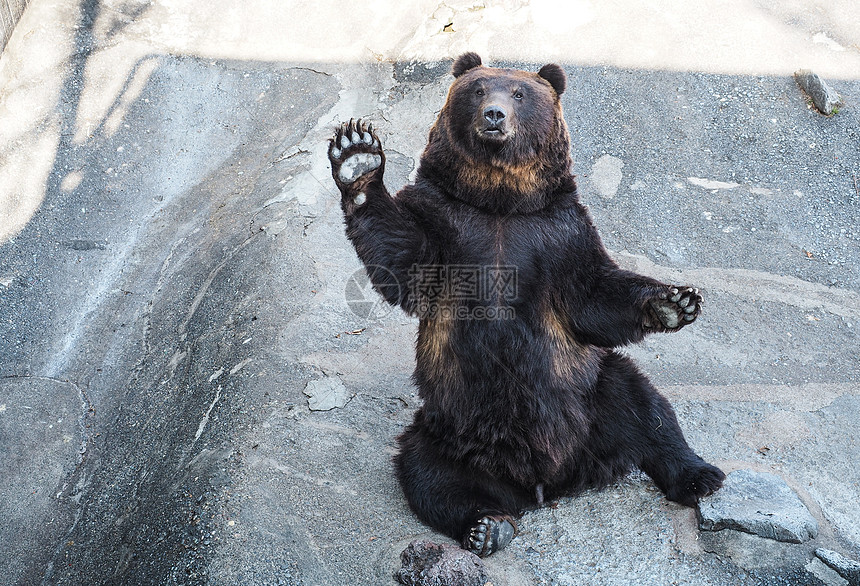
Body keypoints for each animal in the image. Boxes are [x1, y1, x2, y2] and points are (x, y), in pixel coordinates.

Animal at [326, 52, 724, 556]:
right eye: (478, 89)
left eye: (519, 93)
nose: (494, 115)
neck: (500, 203)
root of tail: (546, 482)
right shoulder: (447, 224)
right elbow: (402, 258)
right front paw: (356, 156)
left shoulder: (558, 233)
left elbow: (593, 296)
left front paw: (676, 302)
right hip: (447, 429)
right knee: (427, 474)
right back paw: (486, 525)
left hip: (590, 395)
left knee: (644, 406)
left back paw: (700, 475)